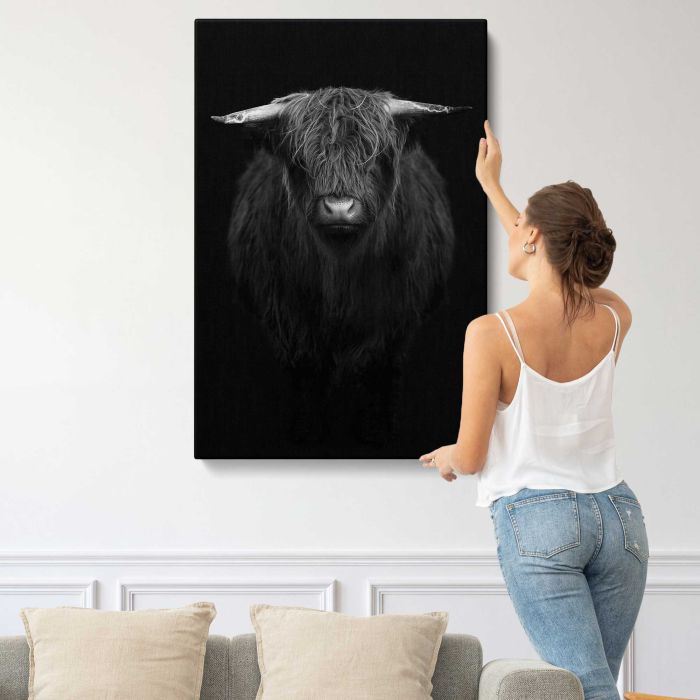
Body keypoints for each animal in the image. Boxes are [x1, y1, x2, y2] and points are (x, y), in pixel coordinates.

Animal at [212, 87, 471, 446]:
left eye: (374, 158)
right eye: (301, 160)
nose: (339, 207)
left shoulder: (393, 323)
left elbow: (376, 374)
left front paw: (374, 433)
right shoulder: (288, 321)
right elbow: (308, 376)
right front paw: (307, 433)